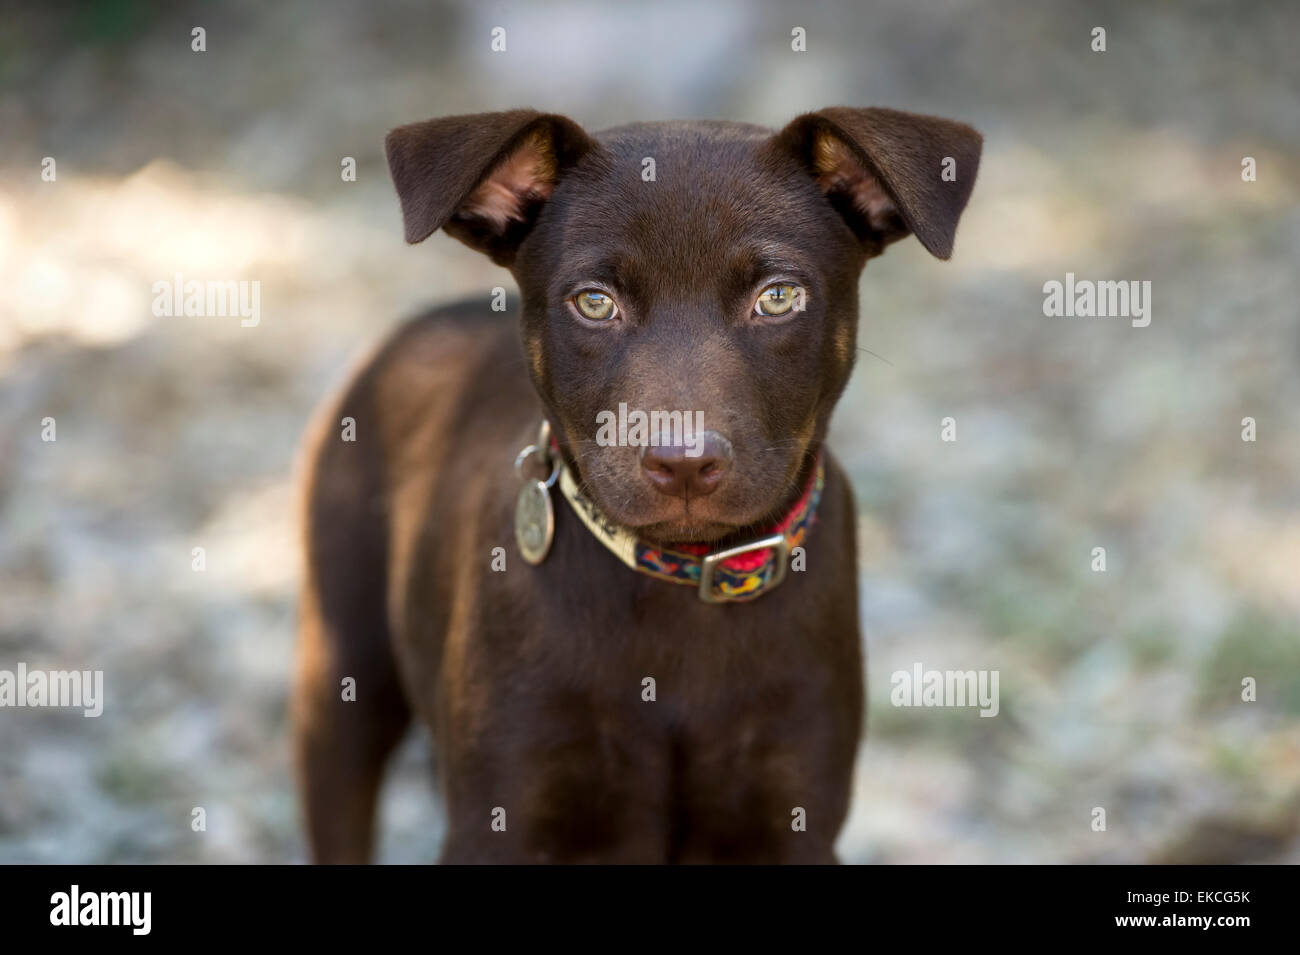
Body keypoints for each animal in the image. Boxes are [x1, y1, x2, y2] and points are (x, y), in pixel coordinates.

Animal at [295, 108, 977, 862]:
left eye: (778, 298)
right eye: (595, 303)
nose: (682, 465)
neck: (680, 579)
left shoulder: (793, 816)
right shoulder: (499, 814)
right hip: (341, 677)